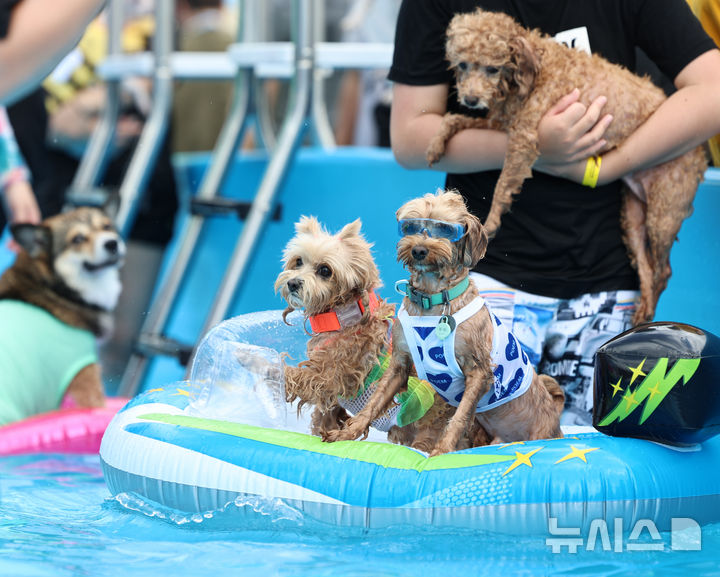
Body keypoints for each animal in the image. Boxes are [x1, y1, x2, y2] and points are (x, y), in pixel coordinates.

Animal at [0, 200, 125, 426]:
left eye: (107, 227)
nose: (112, 243)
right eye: (77, 239)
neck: (55, 290)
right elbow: (98, 406)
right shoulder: (85, 374)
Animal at [272, 216, 464, 450]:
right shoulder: (332, 401)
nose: (292, 283)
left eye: (325, 270)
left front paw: (264, 366)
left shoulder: (328, 377)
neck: (343, 316)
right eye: (298, 261)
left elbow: (300, 378)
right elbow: (323, 417)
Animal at [324, 192, 564, 454]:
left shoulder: (478, 373)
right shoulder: (400, 363)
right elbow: (373, 403)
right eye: (410, 226)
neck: (431, 301)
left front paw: (442, 450)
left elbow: (459, 418)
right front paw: (347, 433)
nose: (419, 250)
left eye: (445, 229)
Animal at [424, 7, 704, 324]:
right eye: (462, 64)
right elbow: (454, 119)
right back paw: (643, 310)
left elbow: (503, 183)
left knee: (664, 270)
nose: (471, 99)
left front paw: (492, 221)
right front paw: (436, 144)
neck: (534, 70)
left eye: (492, 69)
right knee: (646, 266)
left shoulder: (524, 138)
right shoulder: (502, 124)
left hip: (664, 212)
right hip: (632, 217)